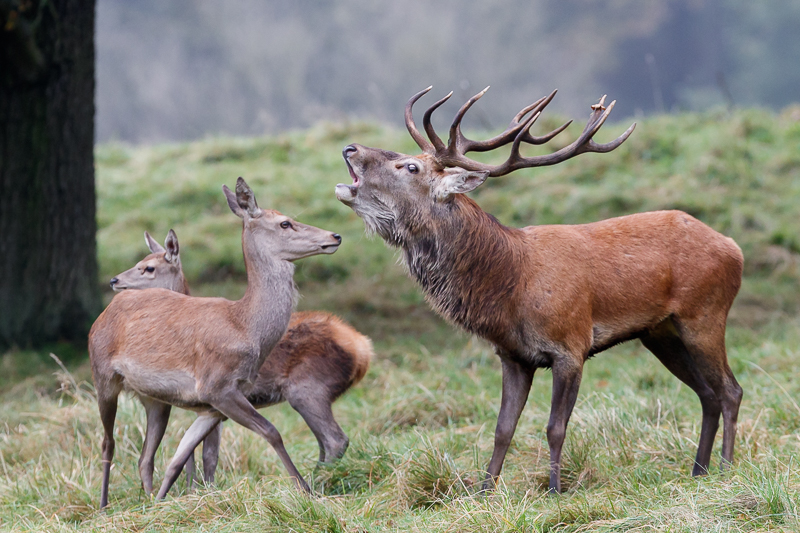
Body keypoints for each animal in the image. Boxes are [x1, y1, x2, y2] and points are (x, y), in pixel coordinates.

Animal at [89, 177, 342, 508]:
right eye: (285, 223)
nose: (335, 235)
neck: (246, 327)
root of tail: (101, 315)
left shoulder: (214, 404)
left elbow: (180, 458)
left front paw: (164, 505)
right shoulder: (216, 385)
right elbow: (272, 432)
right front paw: (306, 491)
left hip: (154, 399)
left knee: (146, 456)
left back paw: (145, 498)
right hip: (102, 376)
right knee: (107, 442)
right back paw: (103, 506)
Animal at [108, 228, 372, 495]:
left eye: (149, 267)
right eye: (140, 261)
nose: (114, 280)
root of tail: (363, 348)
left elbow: (208, 455)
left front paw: (203, 490)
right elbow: (192, 452)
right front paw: (194, 490)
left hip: (308, 389)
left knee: (335, 439)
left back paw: (318, 482)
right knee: (325, 442)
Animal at [335, 87, 744, 494]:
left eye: (410, 167)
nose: (351, 148)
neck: (510, 287)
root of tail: (734, 247)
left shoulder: (571, 346)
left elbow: (554, 428)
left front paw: (555, 490)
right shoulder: (513, 355)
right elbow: (503, 428)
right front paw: (484, 490)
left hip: (704, 315)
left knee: (730, 390)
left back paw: (726, 469)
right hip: (659, 333)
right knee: (707, 394)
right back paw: (699, 470)